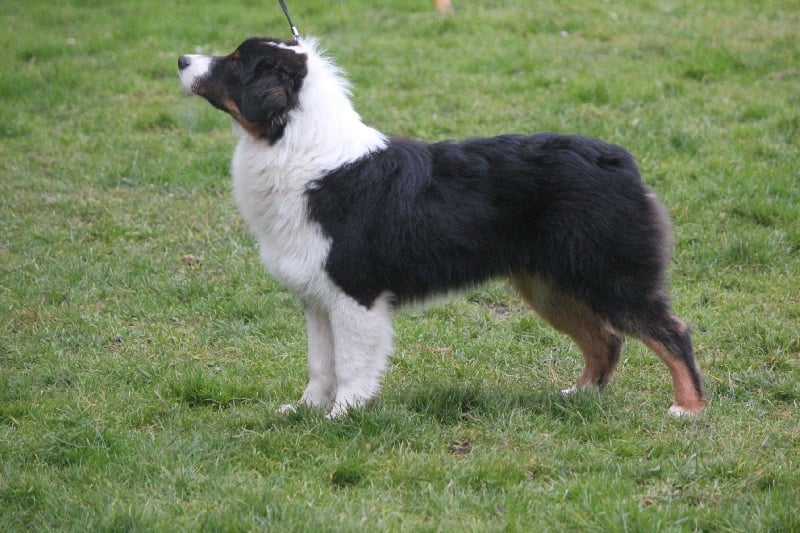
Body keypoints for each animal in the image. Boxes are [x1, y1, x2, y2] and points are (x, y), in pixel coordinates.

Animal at [178, 36, 706, 419]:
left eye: (237, 63)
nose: (182, 59)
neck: (300, 149)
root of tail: (617, 158)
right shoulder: (317, 296)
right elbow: (320, 363)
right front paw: (304, 412)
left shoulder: (355, 293)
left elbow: (350, 364)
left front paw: (342, 416)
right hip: (550, 285)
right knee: (606, 341)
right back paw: (581, 396)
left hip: (608, 276)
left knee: (672, 333)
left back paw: (688, 409)